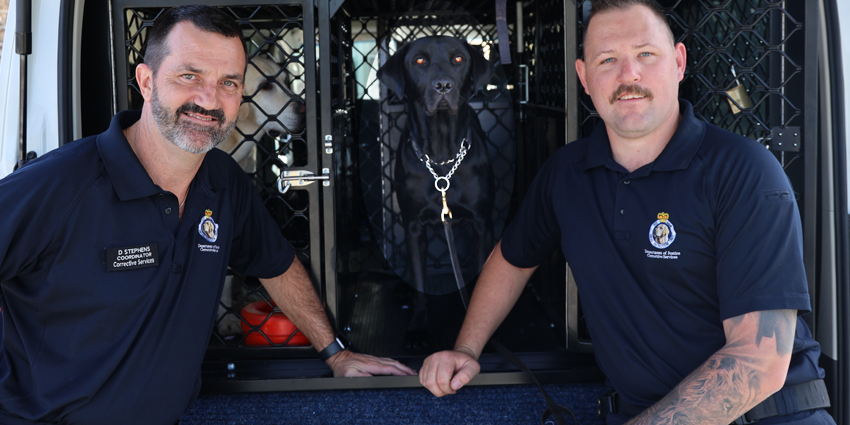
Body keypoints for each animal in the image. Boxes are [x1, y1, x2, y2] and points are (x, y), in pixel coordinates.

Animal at [378, 35, 496, 348]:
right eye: (419, 60)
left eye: (458, 59)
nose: (443, 85)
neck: (442, 156)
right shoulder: (413, 226)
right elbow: (420, 284)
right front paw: (418, 328)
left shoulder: (481, 223)